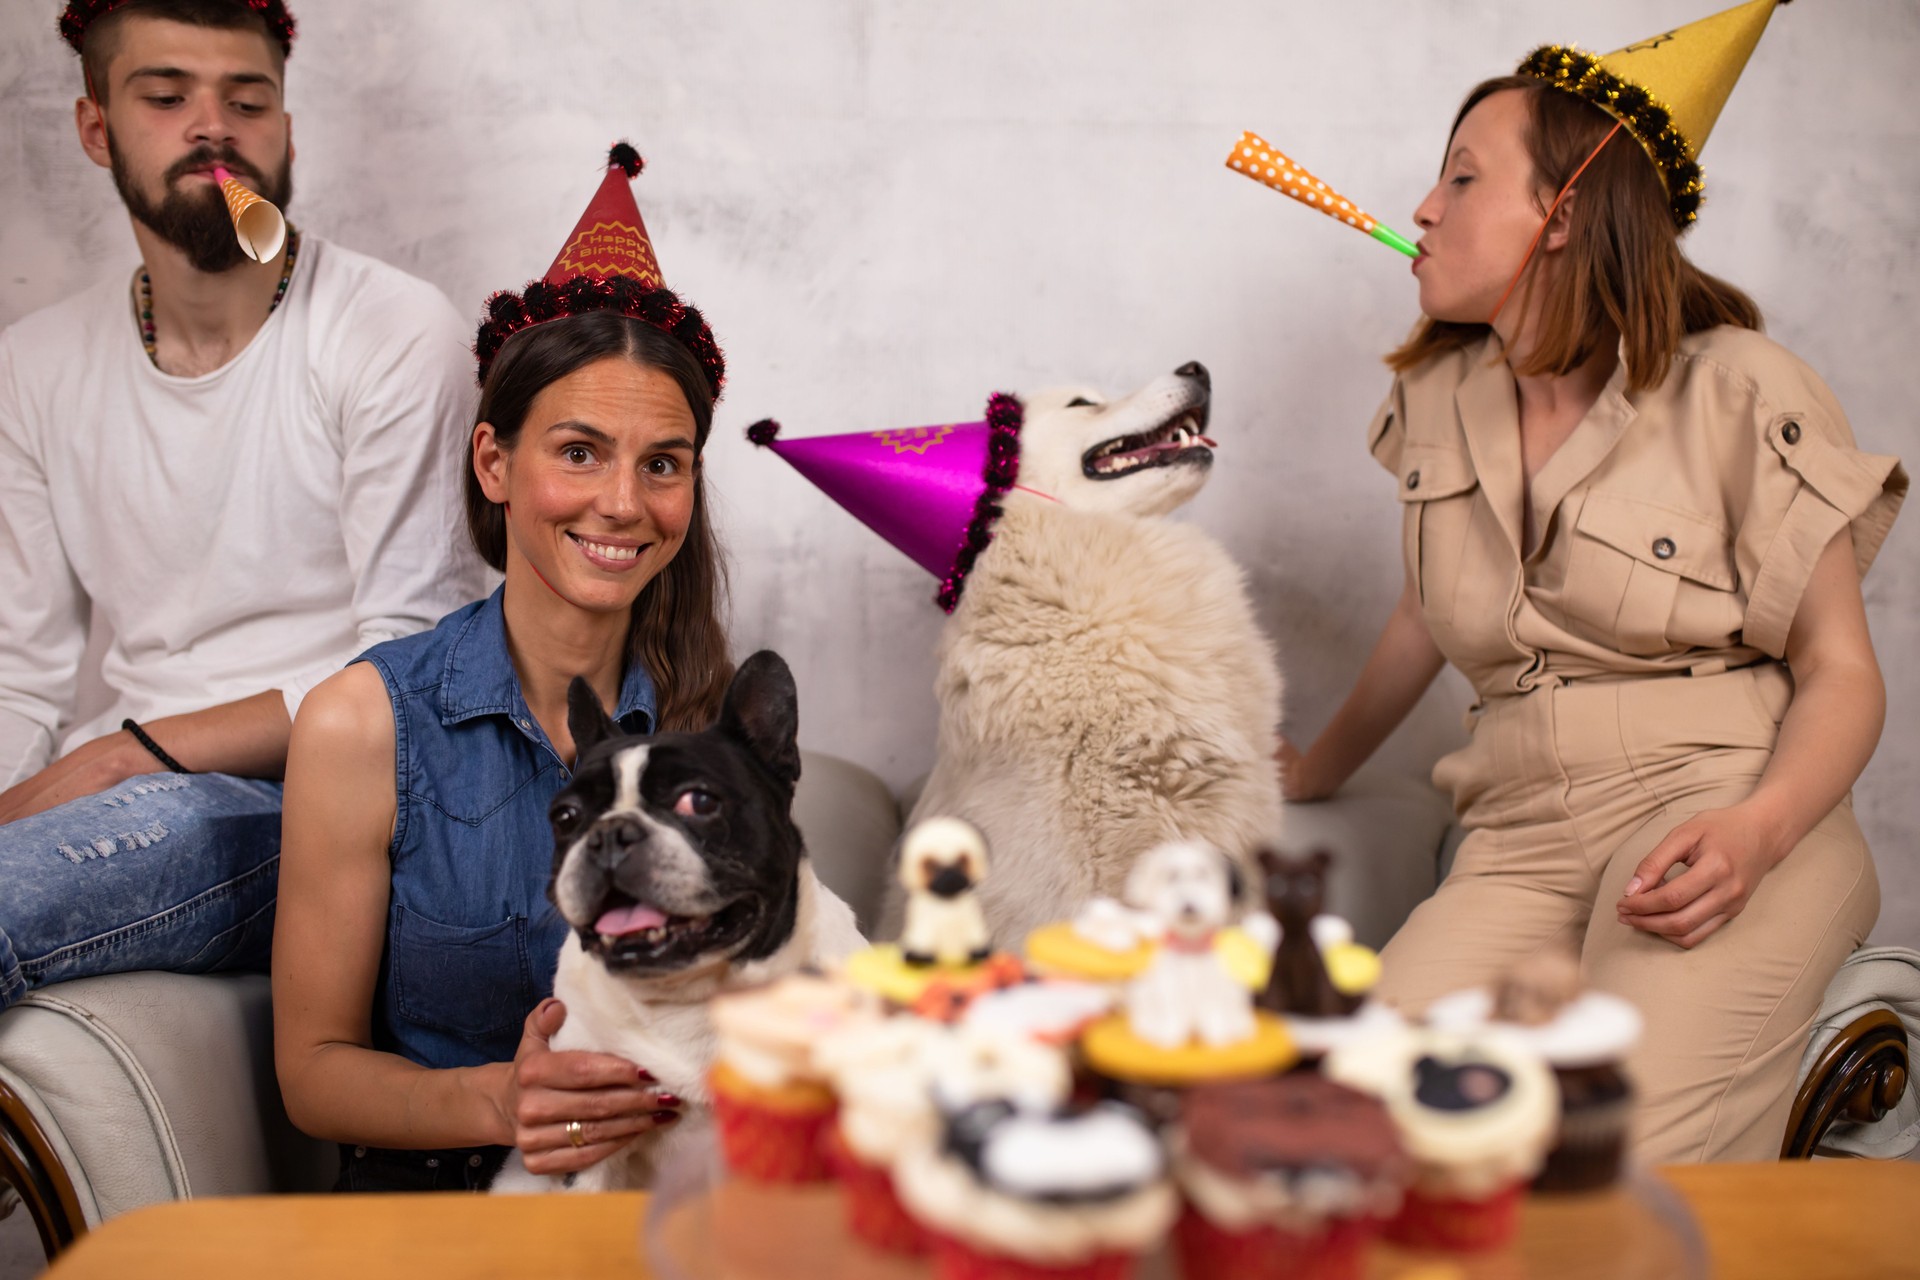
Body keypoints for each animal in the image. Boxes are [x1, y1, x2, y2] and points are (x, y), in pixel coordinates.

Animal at [1121, 840, 1251, 1051]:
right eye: (1172, 876)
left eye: (1203, 874)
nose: (1188, 905)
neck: (1190, 944)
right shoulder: (1168, 990)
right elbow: (1170, 1016)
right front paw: (1169, 1039)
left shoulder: (1213, 991)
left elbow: (1215, 1014)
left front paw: (1219, 1039)